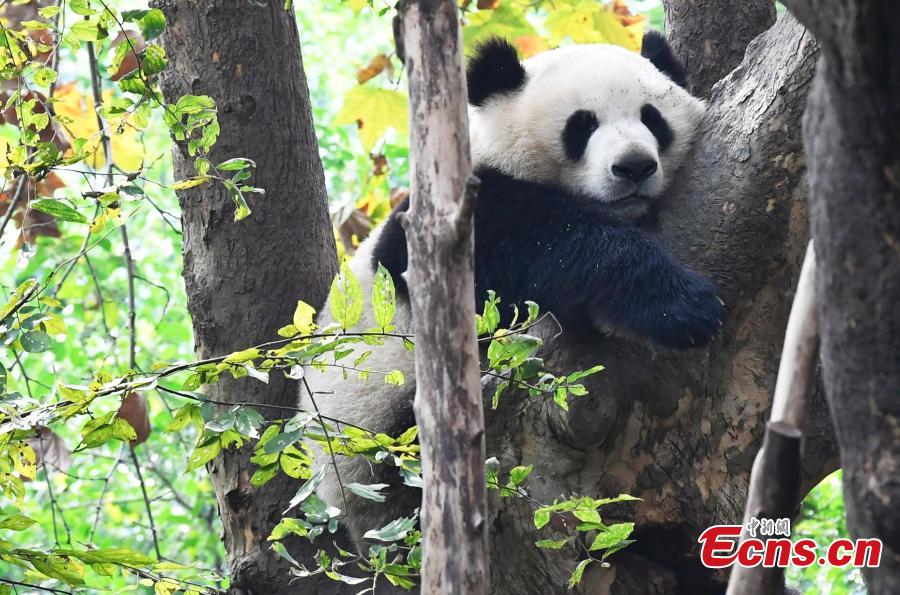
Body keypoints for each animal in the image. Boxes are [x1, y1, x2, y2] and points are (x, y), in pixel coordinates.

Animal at [300, 31, 724, 544]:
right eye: (581, 126)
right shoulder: (453, 219)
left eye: (652, 118)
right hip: (378, 436)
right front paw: (682, 305)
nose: (634, 166)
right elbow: (540, 238)